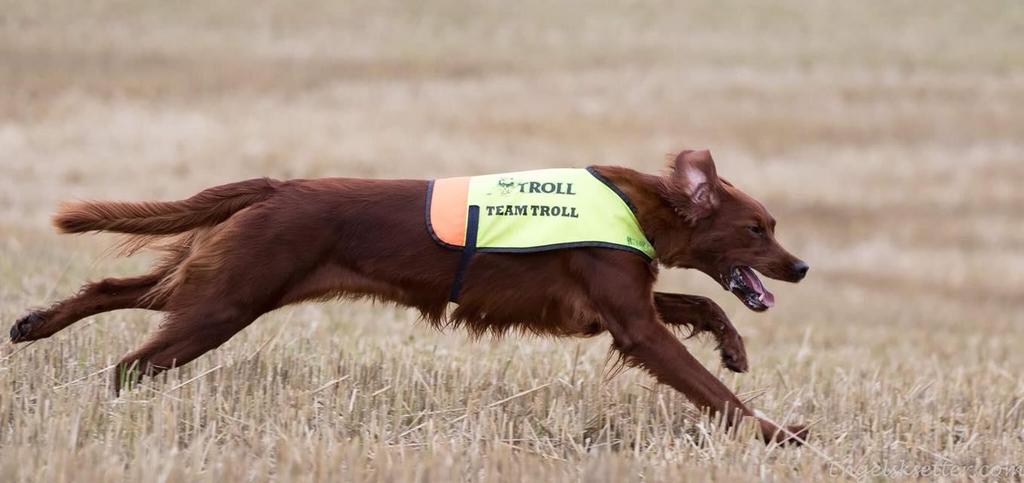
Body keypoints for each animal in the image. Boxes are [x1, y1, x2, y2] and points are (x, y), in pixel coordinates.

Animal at [8, 149, 806, 444]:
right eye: (757, 228)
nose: (799, 267)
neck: (639, 204)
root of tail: (277, 186)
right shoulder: (629, 320)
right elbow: (706, 386)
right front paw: (780, 433)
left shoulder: (611, 310)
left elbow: (705, 309)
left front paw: (735, 349)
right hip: (222, 303)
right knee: (129, 364)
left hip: (215, 287)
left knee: (113, 289)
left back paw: (32, 324)